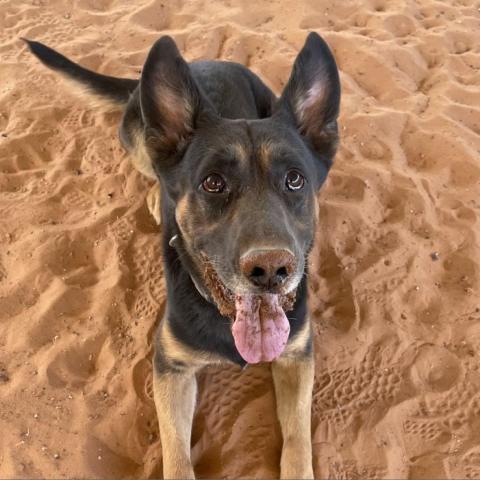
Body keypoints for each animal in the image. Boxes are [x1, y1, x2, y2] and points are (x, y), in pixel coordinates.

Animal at [25, 31, 342, 478]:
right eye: (213, 182)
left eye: (295, 180)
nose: (270, 269)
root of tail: (200, 62)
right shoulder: (170, 367)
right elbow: (176, 454)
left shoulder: (297, 355)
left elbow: (297, 440)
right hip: (137, 140)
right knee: (149, 172)